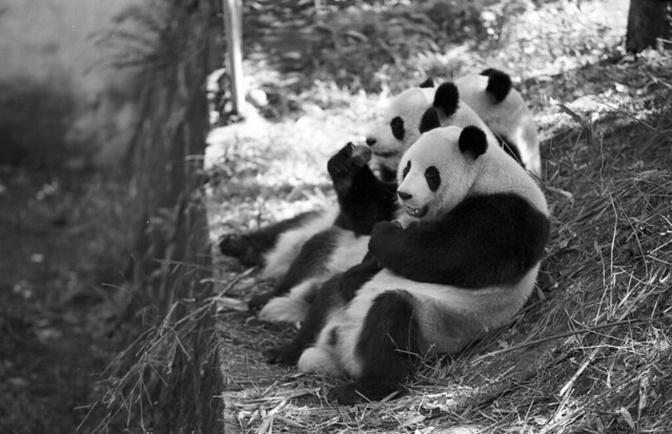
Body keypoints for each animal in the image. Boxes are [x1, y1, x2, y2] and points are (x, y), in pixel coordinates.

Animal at [266, 120, 548, 406]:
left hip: (434, 324)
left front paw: (384, 234)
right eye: (407, 167)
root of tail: (339, 351)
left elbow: (445, 255)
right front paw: (347, 165)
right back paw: (286, 350)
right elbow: (370, 216)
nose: (405, 194)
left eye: (431, 174)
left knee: (390, 319)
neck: (485, 174)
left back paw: (365, 388)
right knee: (328, 295)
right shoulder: (398, 206)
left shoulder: (505, 216)